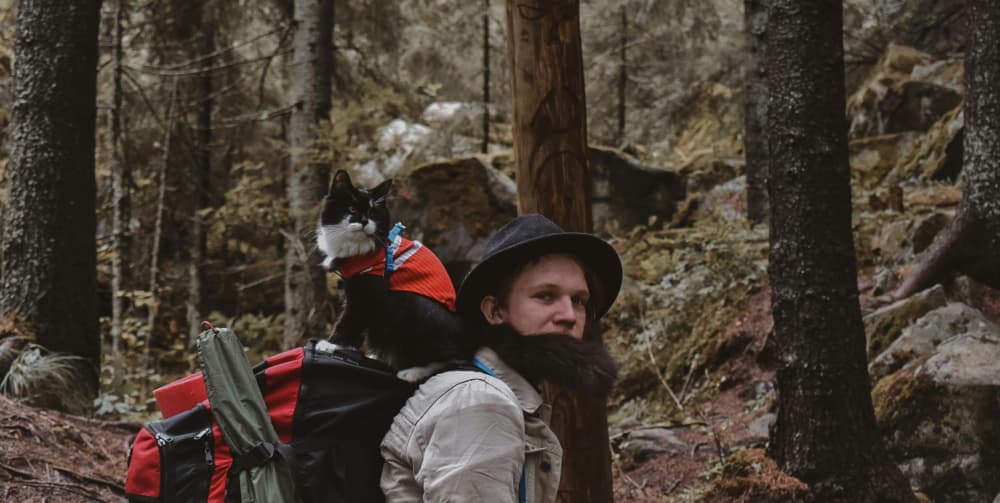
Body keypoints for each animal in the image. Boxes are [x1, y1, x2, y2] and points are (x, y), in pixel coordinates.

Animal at [316, 169, 468, 382]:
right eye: (352, 209)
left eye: (373, 212)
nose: (364, 221)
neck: (359, 251)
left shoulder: (367, 293)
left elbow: (349, 320)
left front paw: (330, 344)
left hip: (412, 305)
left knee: (448, 358)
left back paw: (412, 371)